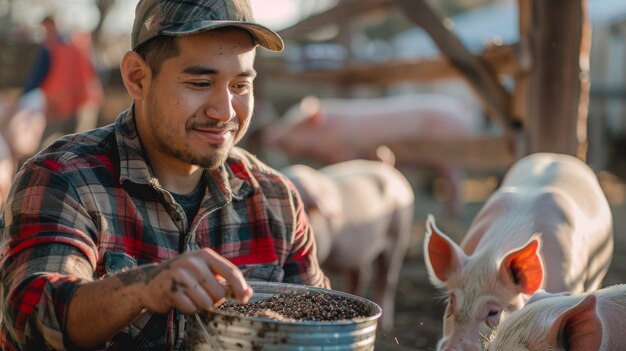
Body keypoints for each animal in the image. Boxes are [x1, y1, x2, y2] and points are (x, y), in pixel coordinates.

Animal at [258, 95, 478, 219]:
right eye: (289, 118)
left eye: (295, 125)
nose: (268, 134)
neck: (329, 129)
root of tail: (464, 115)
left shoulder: (345, 151)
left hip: (450, 154)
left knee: (456, 179)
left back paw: (454, 214)